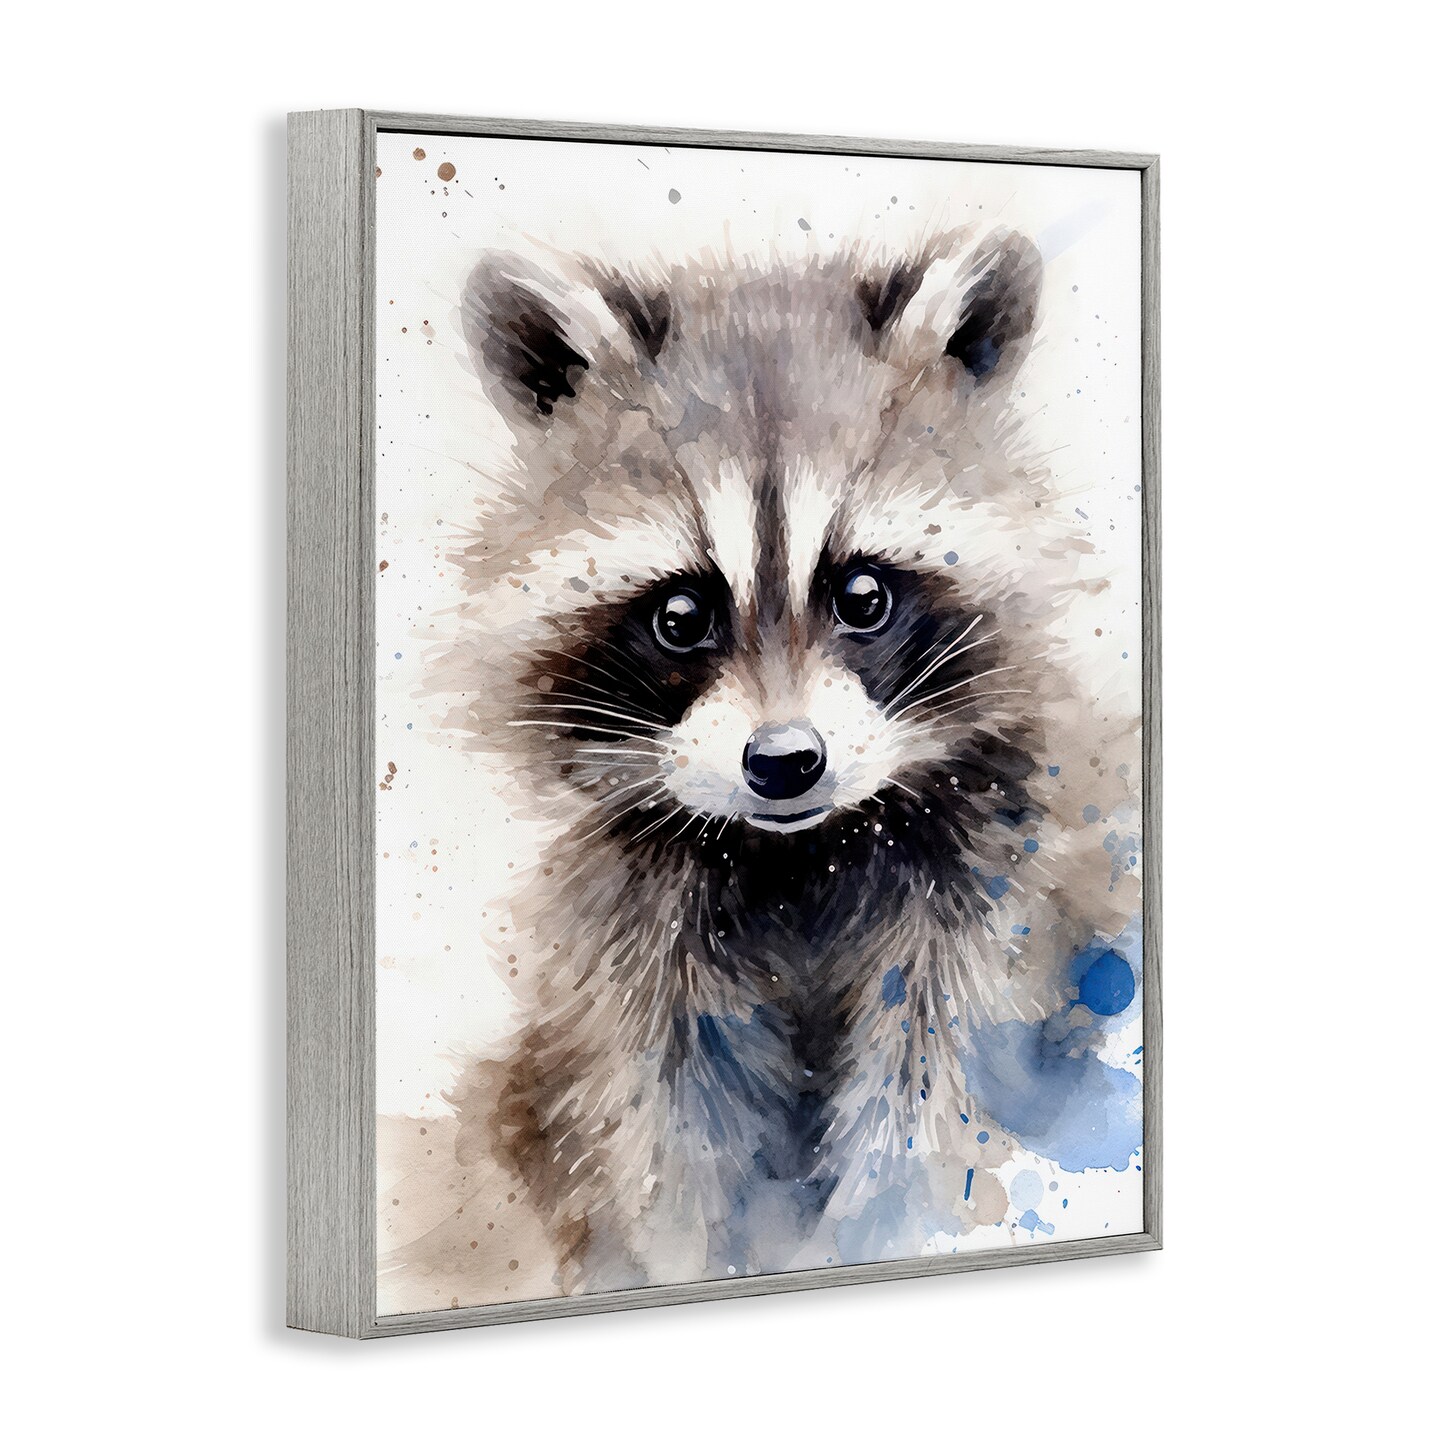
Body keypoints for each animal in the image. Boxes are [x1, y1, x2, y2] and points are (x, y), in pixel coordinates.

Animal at [419, 228, 1141, 1295]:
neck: (800, 857)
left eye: (864, 595)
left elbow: (933, 1103)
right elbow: (667, 1135)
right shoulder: (637, 947)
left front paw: (888, 1224)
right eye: (680, 615)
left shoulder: (995, 888)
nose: (785, 762)